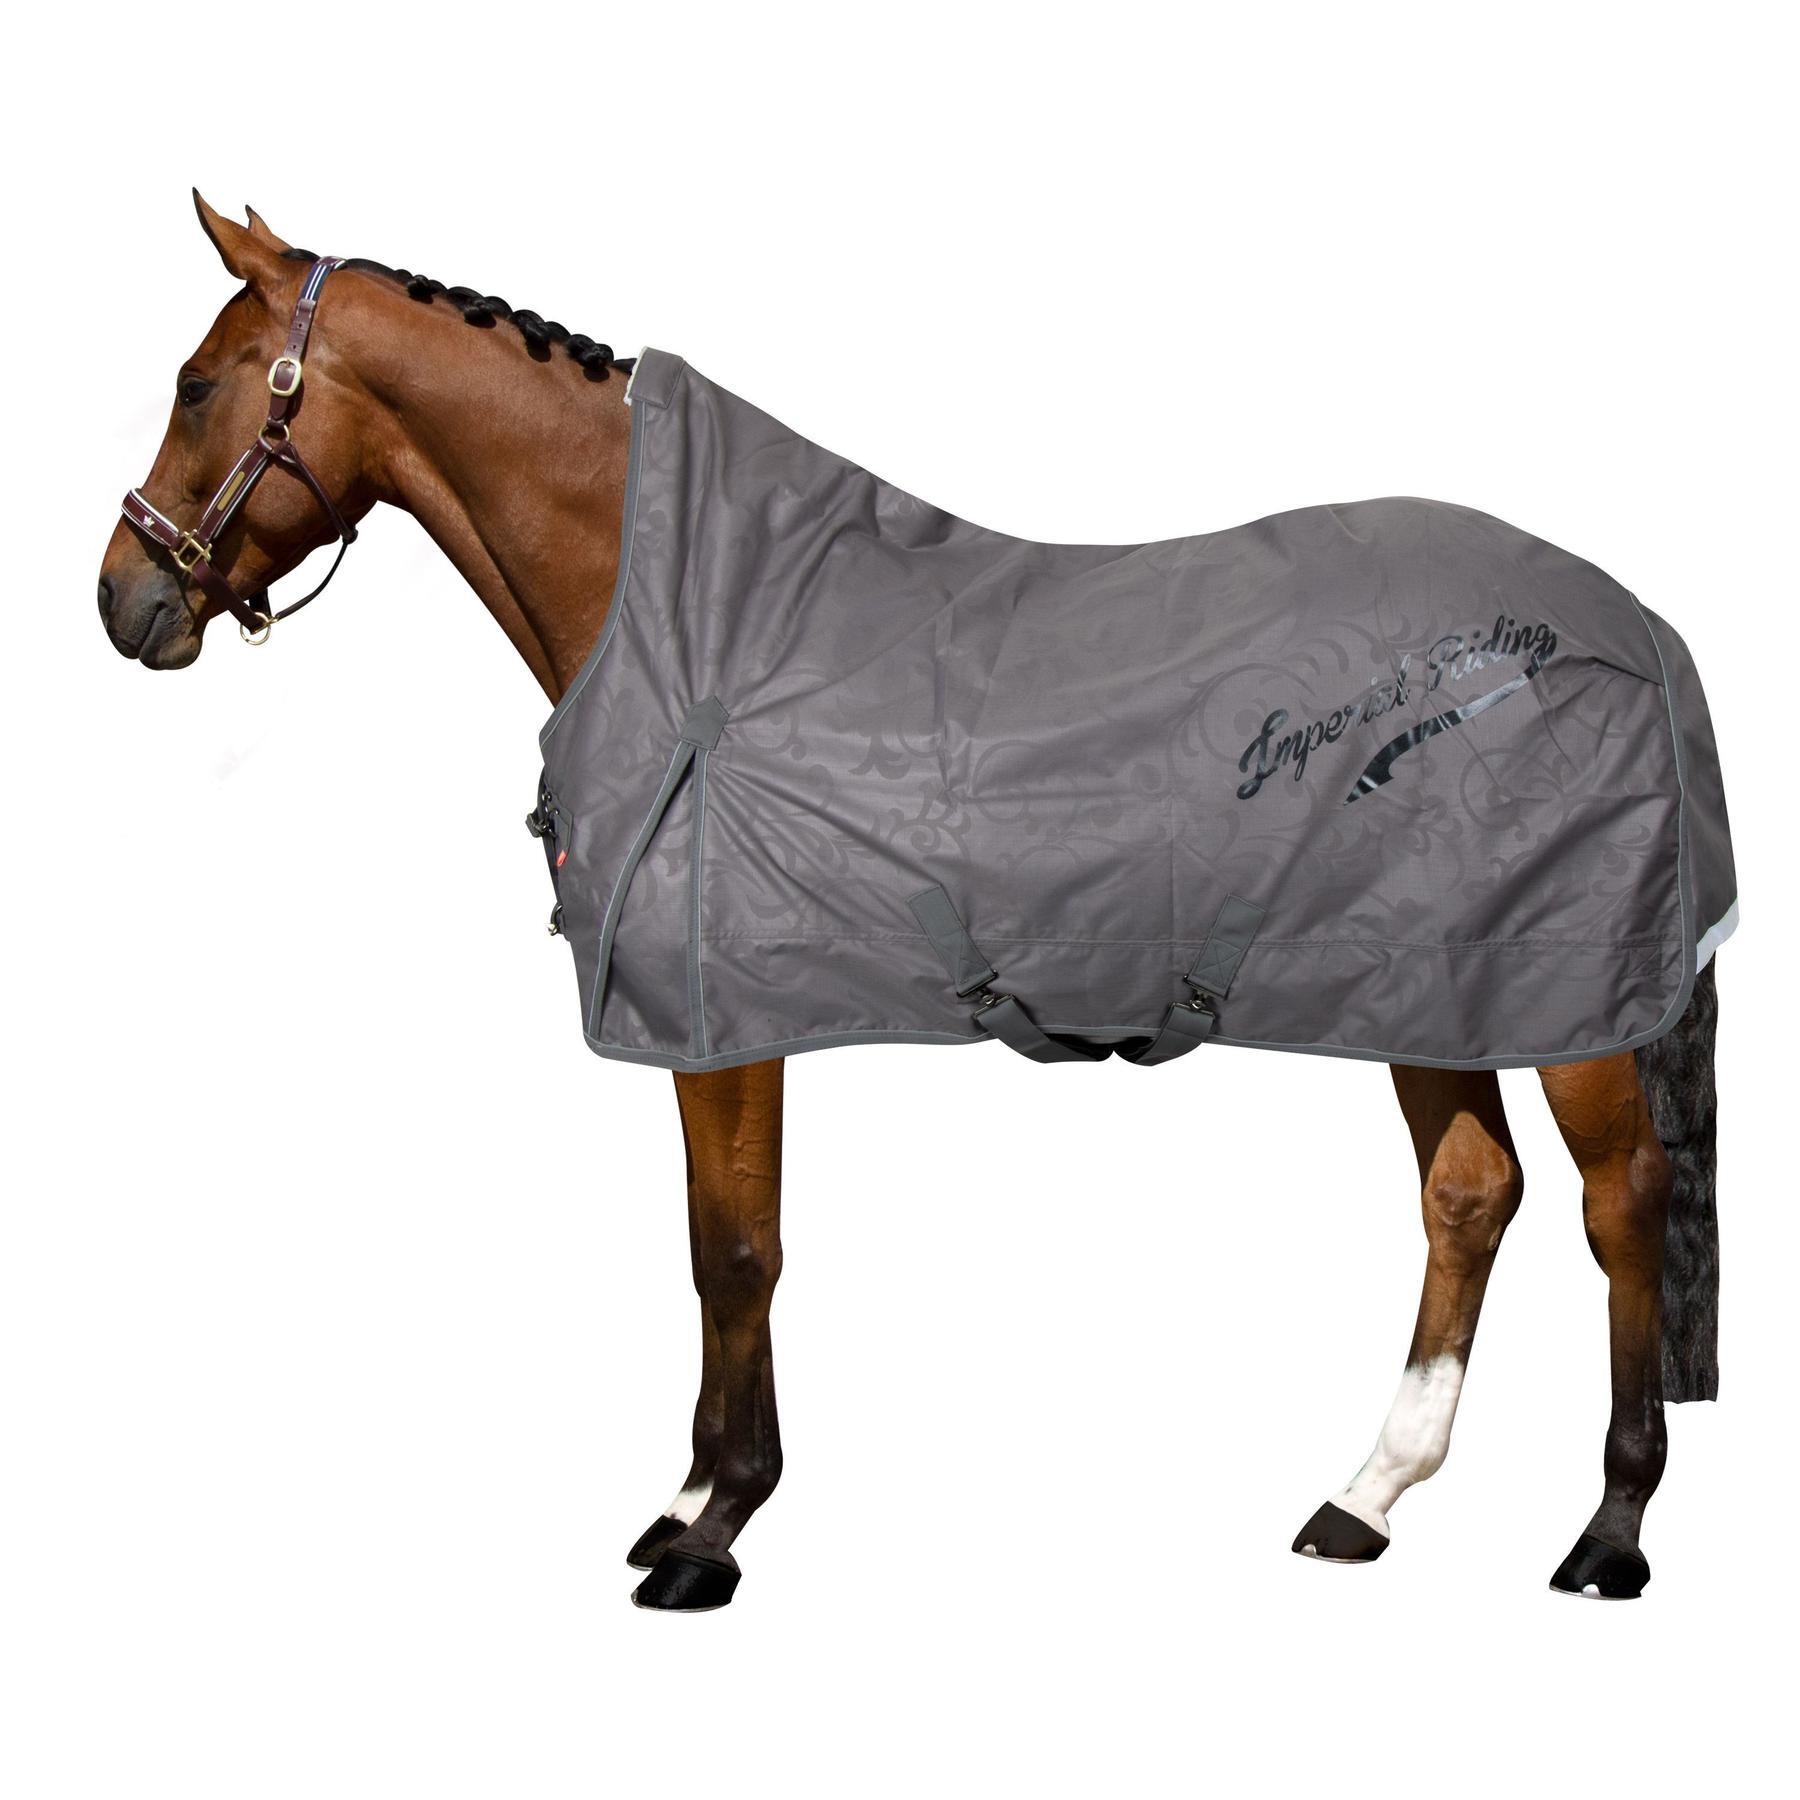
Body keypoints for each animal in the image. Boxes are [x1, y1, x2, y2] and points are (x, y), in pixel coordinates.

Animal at [97, 195, 1725, 1611]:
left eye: (195, 385)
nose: (124, 600)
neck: (698, 631)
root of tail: (1634, 624)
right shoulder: (714, 1023)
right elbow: (719, 1241)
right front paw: (687, 1504)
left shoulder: (721, 1018)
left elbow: (738, 1250)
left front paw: (715, 1531)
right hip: (1430, 981)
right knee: (1471, 1196)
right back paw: (1363, 1499)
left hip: (1565, 996)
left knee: (1622, 1203)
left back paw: (1611, 1530)